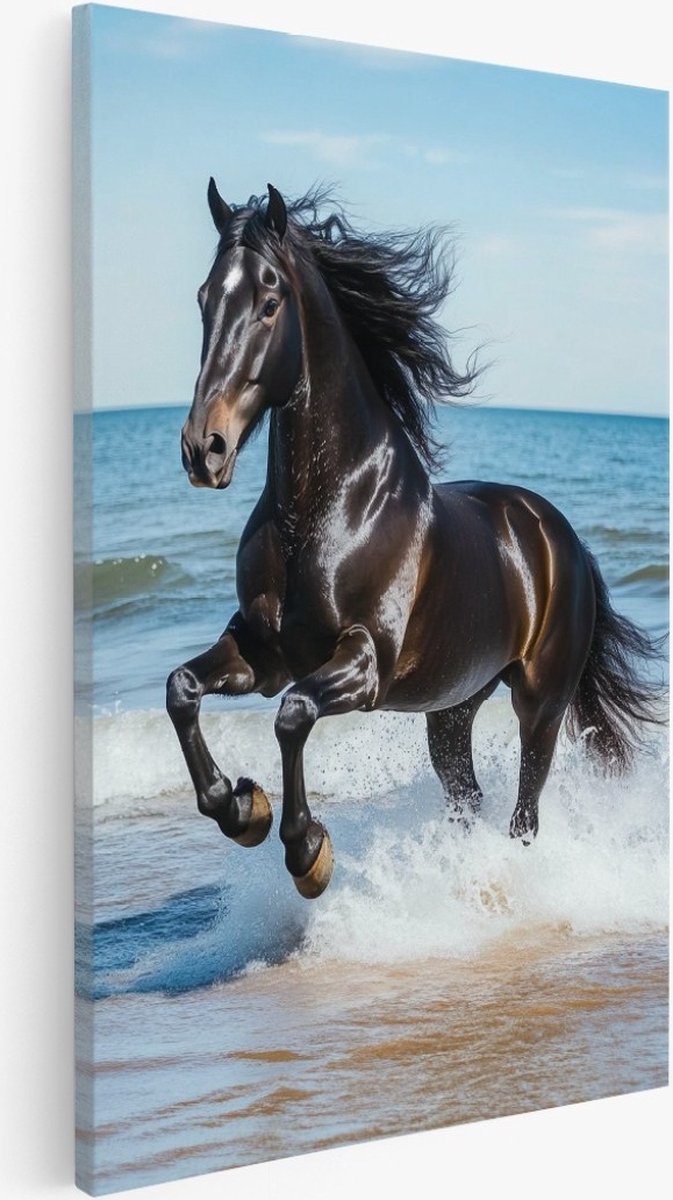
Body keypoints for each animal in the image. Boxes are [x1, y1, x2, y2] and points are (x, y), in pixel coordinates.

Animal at [167, 181, 661, 900]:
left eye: (268, 301)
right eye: (204, 298)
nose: (204, 449)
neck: (324, 514)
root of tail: (558, 535)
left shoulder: (364, 662)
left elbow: (292, 715)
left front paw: (306, 851)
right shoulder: (262, 652)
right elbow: (182, 688)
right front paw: (240, 809)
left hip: (540, 706)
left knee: (524, 814)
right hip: (451, 709)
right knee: (467, 798)